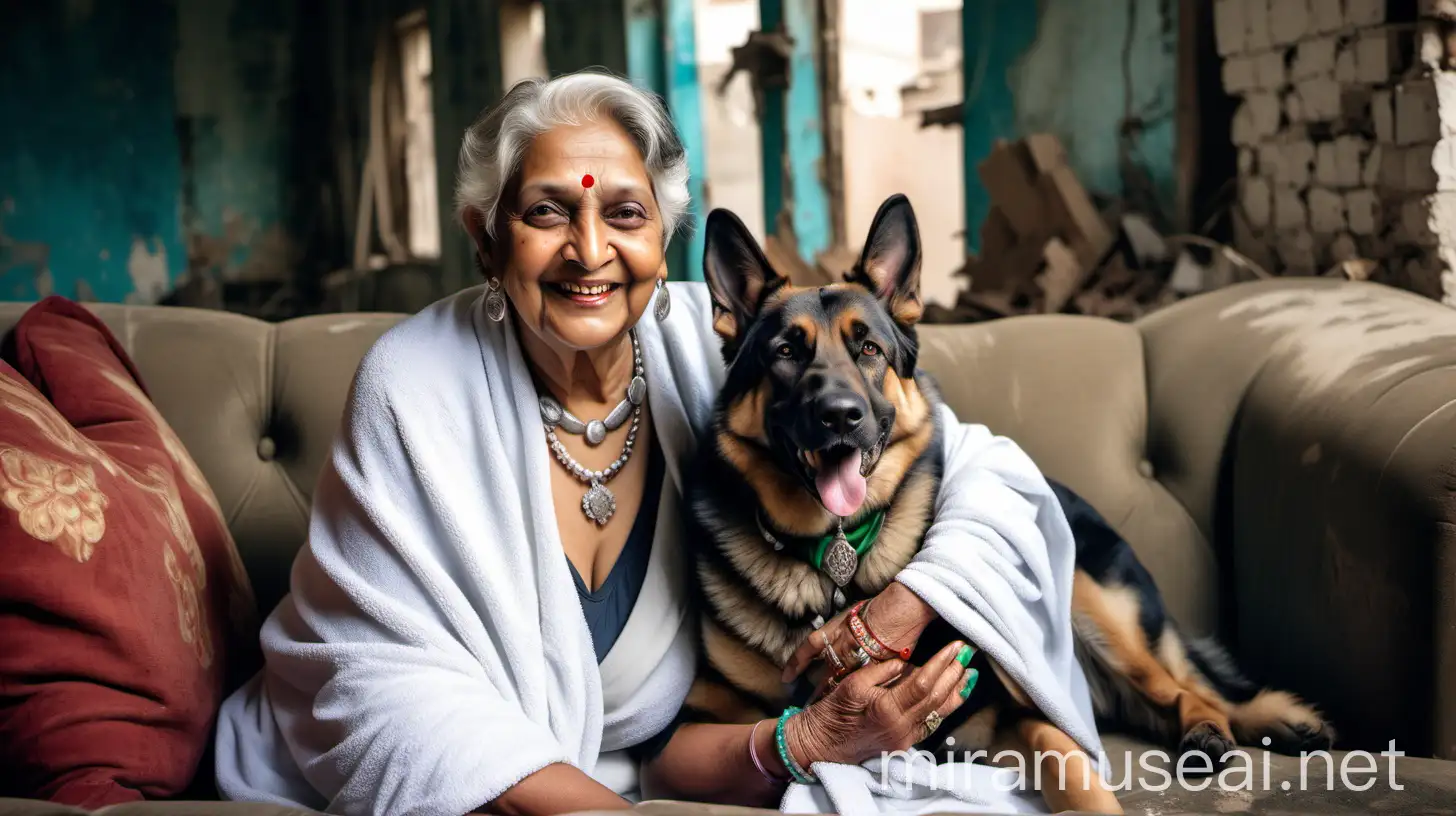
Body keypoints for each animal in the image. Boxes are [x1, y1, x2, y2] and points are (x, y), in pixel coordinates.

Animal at [687, 193, 1333, 810]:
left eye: (868, 349)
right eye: (785, 353)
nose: (840, 417)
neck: (834, 563)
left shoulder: (1007, 714)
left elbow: (1069, 763)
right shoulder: (702, 721)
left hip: (1090, 603)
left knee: (1188, 688)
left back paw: (1230, 726)